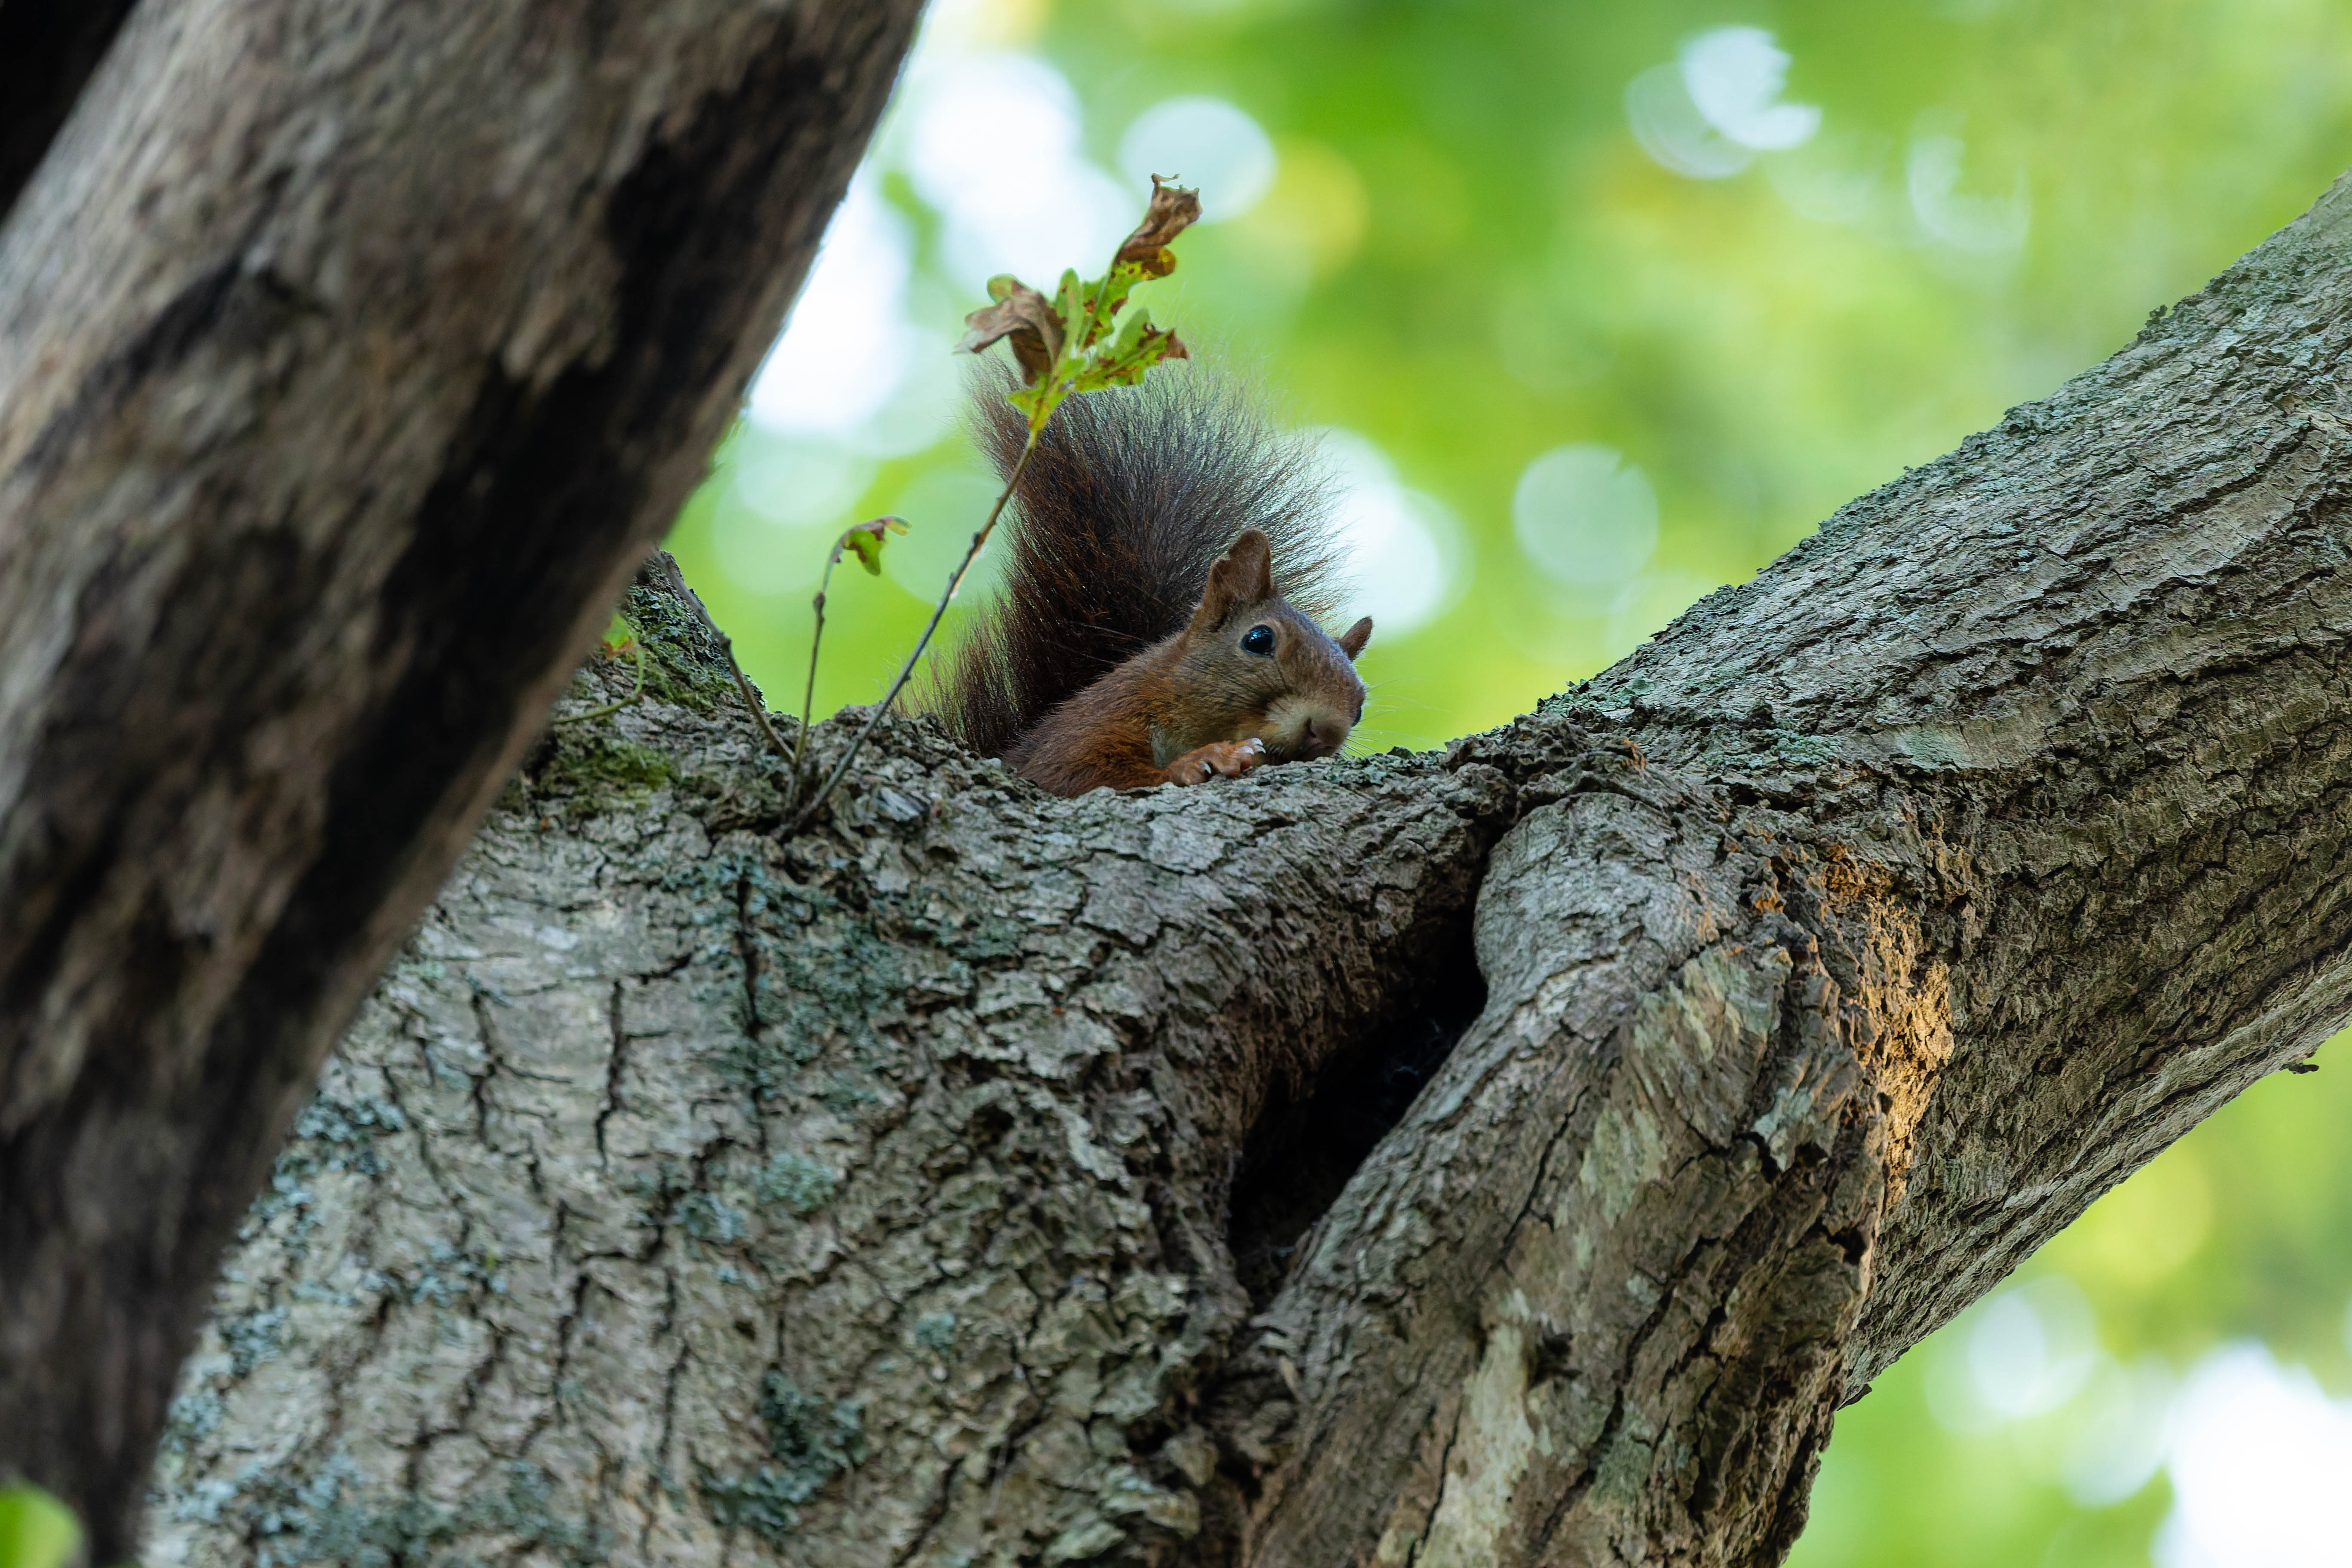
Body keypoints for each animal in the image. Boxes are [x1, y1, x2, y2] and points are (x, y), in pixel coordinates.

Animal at [922, 370, 1373, 796]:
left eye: (1361, 708)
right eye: (1259, 640)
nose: (1327, 732)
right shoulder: (1105, 717)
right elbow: (1068, 774)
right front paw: (1205, 759)